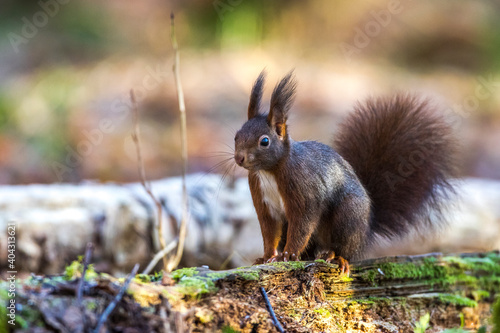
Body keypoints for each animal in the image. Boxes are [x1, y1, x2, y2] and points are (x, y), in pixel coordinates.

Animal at [233, 70, 458, 272]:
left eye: (264, 141)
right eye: (237, 135)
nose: (239, 158)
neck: (269, 171)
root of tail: (367, 229)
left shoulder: (304, 190)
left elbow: (302, 224)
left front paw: (288, 255)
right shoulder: (263, 201)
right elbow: (269, 230)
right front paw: (266, 257)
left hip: (348, 216)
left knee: (344, 249)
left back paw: (336, 257)